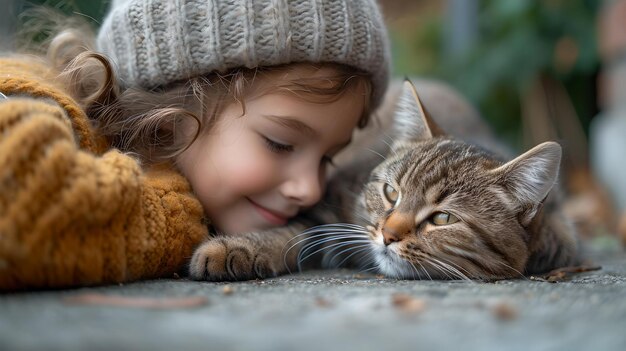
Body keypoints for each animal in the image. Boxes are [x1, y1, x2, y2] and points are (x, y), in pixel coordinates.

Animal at [188, 81, 576, 282]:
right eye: (391, 192)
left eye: (443, 218)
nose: (388, 235)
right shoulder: (329, 207)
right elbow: (294, 232)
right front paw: (232, 248)